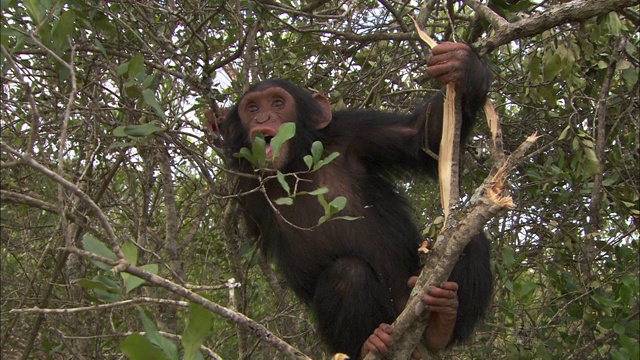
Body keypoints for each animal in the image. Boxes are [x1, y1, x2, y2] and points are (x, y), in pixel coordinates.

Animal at [208, 41, 492, 358]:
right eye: (252, 107)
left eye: (277, 103)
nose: (262, 118)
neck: (296, 164)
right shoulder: (241, 173)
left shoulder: (354, 132)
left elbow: (421, 139)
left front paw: (463, 64)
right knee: (347, 274)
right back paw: (370, 341)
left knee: (468, 239)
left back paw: (442, 322)